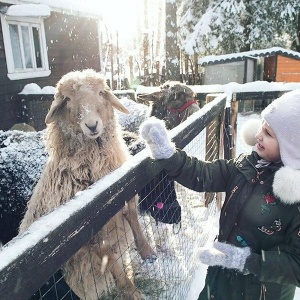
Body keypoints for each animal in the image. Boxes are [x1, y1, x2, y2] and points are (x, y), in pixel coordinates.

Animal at [18, 69, 157, 298]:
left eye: (101, 92)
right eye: (67, 99)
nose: (92, 125)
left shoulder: (123, 185)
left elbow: (132, 212)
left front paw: (147, 251)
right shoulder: (88, 231)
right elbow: (108, 256)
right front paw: (131, 290)